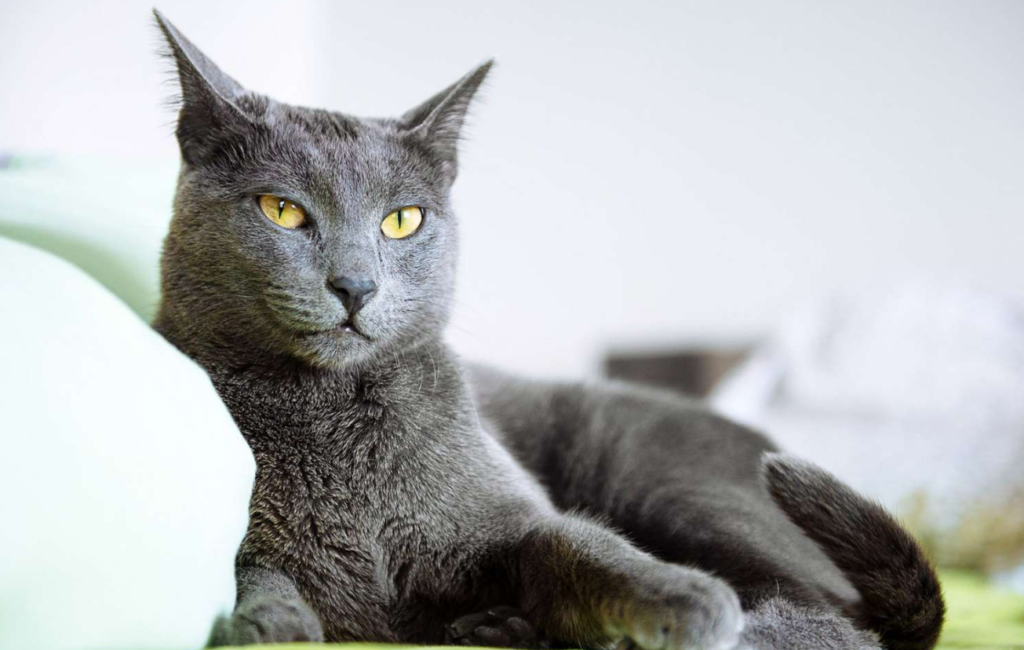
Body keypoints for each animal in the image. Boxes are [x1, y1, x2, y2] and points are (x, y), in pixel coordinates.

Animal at [149, 10, 942, 650]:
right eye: (282, 210)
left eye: (402, 220)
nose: (356, 285)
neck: (332, 413)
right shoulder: (256, 544)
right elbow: (255, 571)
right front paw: (271, 623)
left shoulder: (512, 515)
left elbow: (578, 544)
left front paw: (681, 599)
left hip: (653, 472)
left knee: (832, 623)